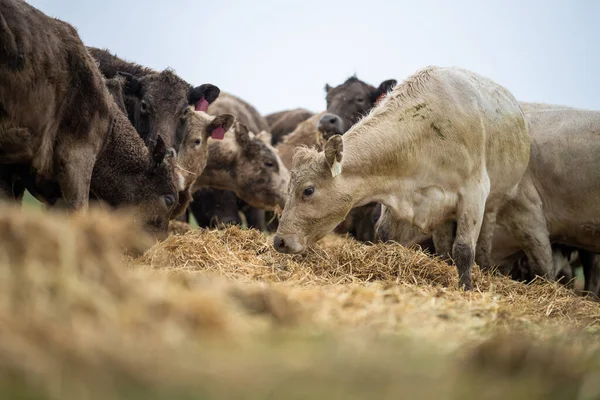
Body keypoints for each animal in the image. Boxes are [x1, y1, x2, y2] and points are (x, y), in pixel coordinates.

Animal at [272, 67, 528, 290]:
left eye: (308, 190)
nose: (279, 242)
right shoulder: (394, 191)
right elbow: (385, 235)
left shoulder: (474, 193)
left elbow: (464, 250)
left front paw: (466, 289)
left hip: (493, 204)